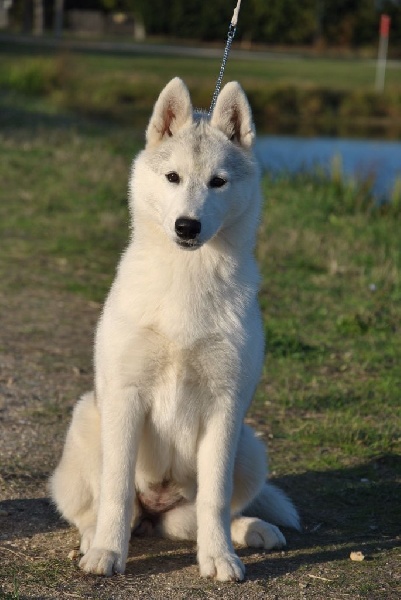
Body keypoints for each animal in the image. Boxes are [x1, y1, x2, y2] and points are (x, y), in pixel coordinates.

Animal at [50, 79, 298, 580]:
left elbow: (215, 499)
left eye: (218, 182)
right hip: (88, 416)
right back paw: (94, 539)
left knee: (198, 516)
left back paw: (247, 531)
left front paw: (220, 557)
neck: (188, 277)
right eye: (172, 178)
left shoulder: (225, 406)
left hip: (248, 445)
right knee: (101, 509)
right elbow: (116, 490)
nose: (187, 226)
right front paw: (107, 553)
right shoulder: (126, 397)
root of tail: (156, 510)